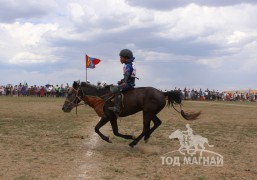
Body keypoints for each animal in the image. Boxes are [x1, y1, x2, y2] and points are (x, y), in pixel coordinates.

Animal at [62, 81, 200, 148]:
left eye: (70, 93)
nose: (64, 108)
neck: (101, 97)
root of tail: (162, 93)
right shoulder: (106, 117)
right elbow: (96, 128)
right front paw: (107, 139)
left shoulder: (110, 116)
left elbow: (114, 131)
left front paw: (127, 137)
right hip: (150, 112)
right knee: (156, 123)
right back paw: (146, 138)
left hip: (147, 112)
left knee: (146, 128)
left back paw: (133, 142)